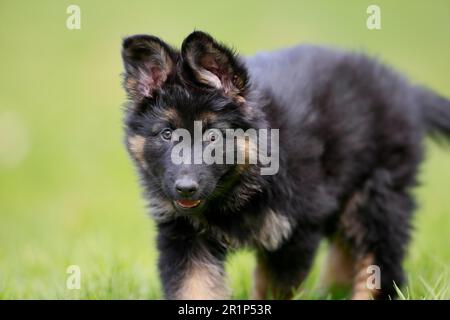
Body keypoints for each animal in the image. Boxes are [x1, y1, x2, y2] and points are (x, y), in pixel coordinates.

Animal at [119, 31, 450, 298]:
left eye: (213, 136)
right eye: (167, 134)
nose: (185, 189)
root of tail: (406, 90)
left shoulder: (295, 232)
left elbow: (274, 289)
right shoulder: (184, 236)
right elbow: (194, 287)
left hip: (377, 195)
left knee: (380, 261)